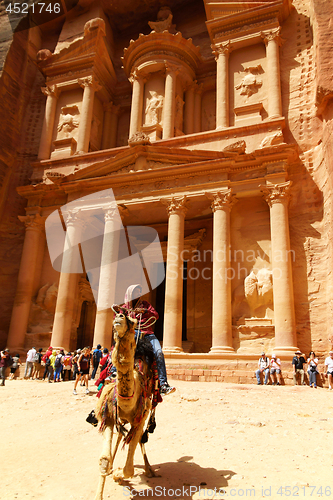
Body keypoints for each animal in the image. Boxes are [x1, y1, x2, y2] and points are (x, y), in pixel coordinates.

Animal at [92, 308, 156, 500]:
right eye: (119, 313)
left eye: (133, 321)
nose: (119, 318)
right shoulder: (109, 417)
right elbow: (104, 460)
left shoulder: (139, 419)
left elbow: (129, 469)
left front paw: (118, 474)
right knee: (121, 435)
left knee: (140, 439)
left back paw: (149, 469)